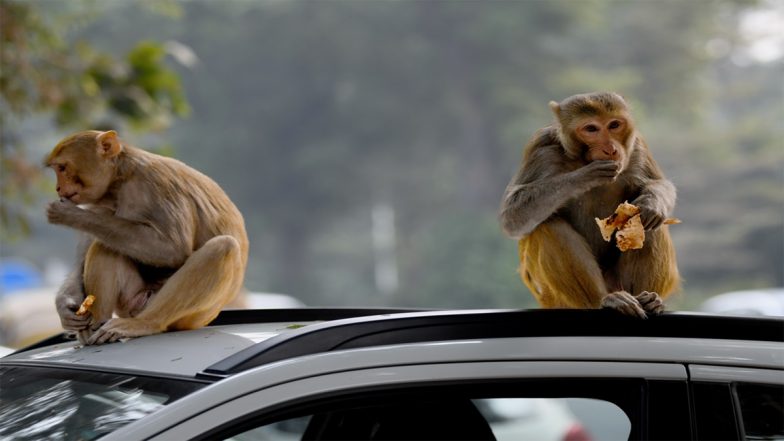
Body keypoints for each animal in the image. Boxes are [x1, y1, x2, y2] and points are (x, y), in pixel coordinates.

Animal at [46, 130, 248, 345]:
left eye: (62, 168)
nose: (58, 188)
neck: (120, 181)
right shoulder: (99, 204)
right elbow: (82, 258)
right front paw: (66, 306)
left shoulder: (155, 184)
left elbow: (174, 249)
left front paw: (71, 215)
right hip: (130, 302)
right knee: (105, 245)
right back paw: (92, 329)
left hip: (189, 318)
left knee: (223, 247)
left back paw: (144, 323)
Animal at [499, 92, 680, 318]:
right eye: (591, 129)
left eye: (614, 125)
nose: (610, 149)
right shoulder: (540, 149)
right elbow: (513, 215)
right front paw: (585, 176)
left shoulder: (636, 146)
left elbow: (658, 184)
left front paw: (651, 202)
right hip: (554, 297)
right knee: (548, 226)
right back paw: (603, 300)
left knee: (647, 224)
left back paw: (648, 300)